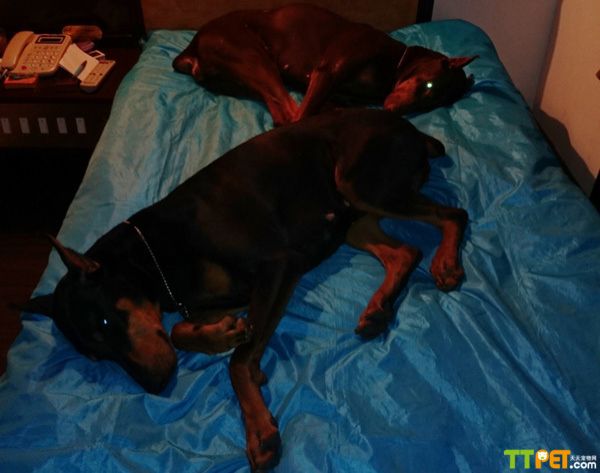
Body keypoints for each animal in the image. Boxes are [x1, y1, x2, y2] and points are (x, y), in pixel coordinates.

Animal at [28, 108, 468, 470]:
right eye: (94, 356)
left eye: (105, 321)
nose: (155, 386)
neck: (154, 253)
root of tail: (410, 128)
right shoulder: (210, 301)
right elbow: (181, 331)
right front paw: (222, 333)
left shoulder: (277, 266)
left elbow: (237, 363)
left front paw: (259, 432)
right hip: (354, 220)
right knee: (405, 252)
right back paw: (378, 309)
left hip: (360, 184)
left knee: (453, 214)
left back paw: (446, 263)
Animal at [173, 3, 477, 125]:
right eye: (429, 85)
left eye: (432, 105)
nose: (395, 113)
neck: (393, 63)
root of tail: (192, 47)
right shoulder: (327, 72)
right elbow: (307, 111)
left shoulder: (338, 92)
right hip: (254, 58)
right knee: (289, 116)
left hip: (243, 81)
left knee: (282, 111)